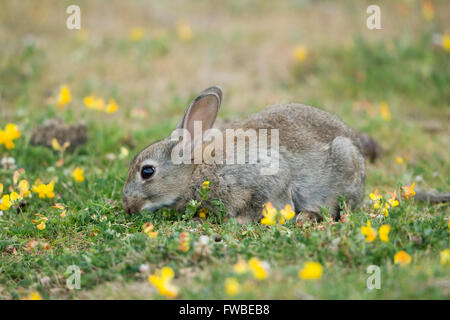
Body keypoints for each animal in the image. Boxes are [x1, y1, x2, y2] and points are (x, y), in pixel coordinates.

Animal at [122, 86, 380, 224]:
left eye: (147, 171)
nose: (127, 206)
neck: (196, 172)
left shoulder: (264, 176)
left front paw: (236, 222)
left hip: (343, 161)